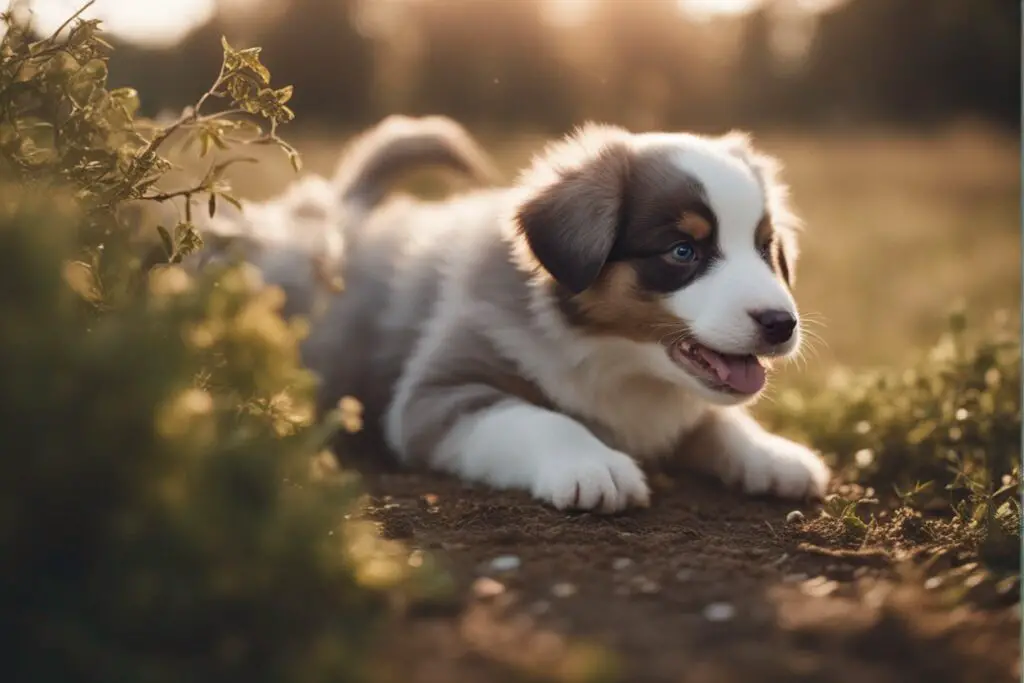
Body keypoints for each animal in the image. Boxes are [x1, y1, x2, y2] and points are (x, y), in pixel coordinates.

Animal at [197, 117, 831, 511]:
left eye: (765, 248)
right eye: (683, 252)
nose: (782, 324)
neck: (616, 360)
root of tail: (340, 206)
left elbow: (717, 420)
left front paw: (772, 454)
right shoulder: (436, 395)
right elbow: (540, 417)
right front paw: (592, 465)